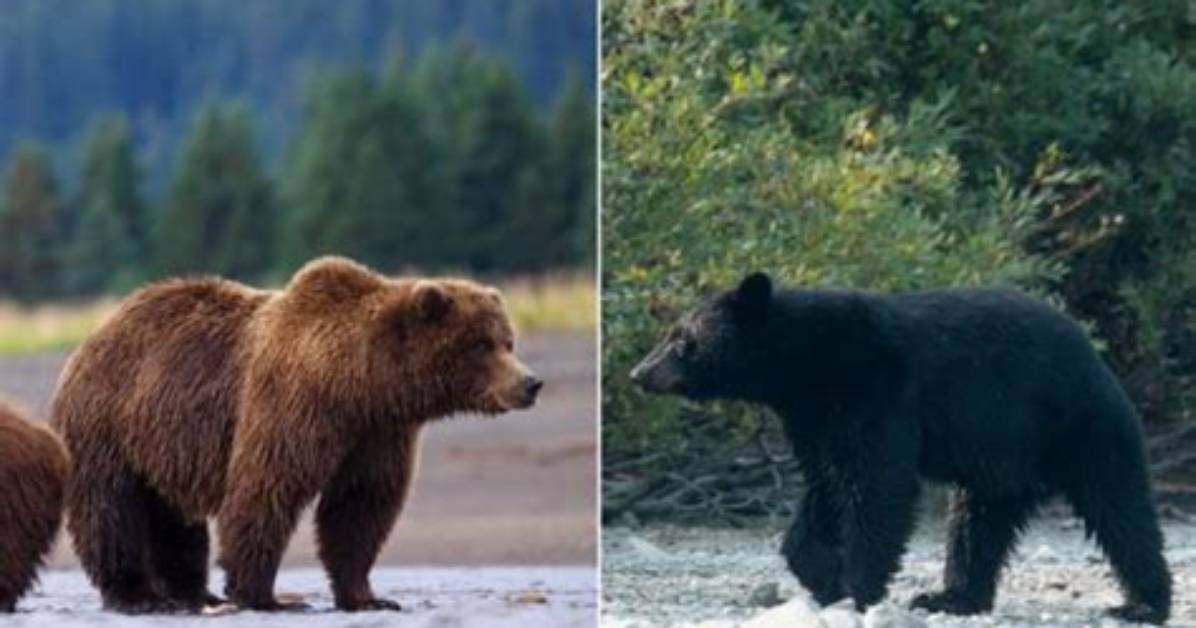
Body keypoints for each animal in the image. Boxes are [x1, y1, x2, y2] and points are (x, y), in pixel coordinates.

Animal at [50, 256, 543, 614]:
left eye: (508, 340)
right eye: (481, 344)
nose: (530, 383)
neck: (362, 381)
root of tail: (91, 337)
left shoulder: (378, 433)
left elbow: (361, 507)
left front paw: (368, 596)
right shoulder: (294, 403)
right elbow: (267, 488)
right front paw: (265, 596)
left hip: (162, 442)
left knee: (174, 516)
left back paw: (192, 594)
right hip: (108, 425)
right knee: (112, 511)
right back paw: (138, 595)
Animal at [630, 272, 1171, 624]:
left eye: (682, 340)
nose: (639, 373)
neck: (808, 364)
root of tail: (1097, 358)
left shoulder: (875, 389)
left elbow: (874, 487)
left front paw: (858, 588)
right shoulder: (813, 418)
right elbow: (824, 487)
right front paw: (822, 574)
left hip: (1078, 427)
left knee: (1120, 509)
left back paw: (1142, 604)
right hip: (1001, 465)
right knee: (977, 524)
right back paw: (950, 597)